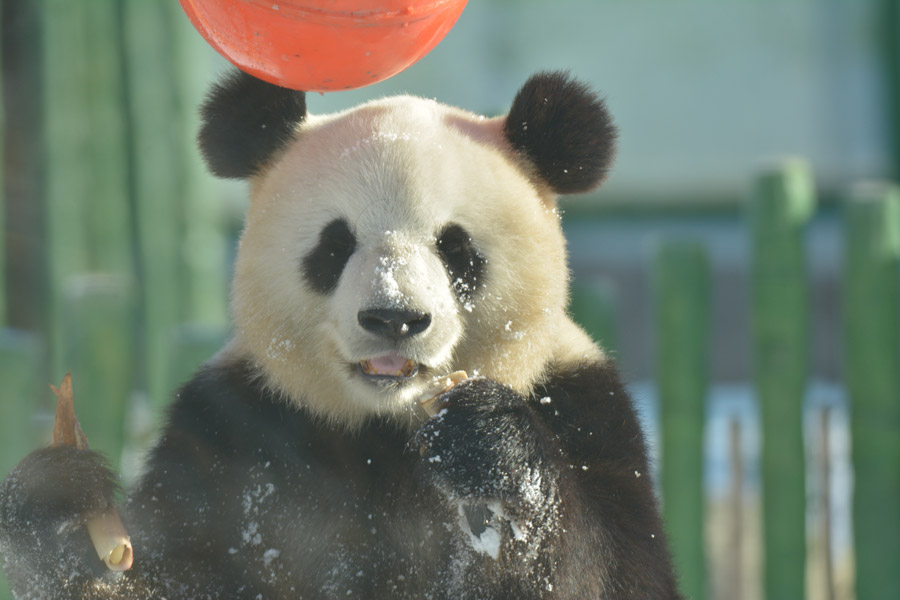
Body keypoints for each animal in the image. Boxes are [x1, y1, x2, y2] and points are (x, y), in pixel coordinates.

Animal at [0, 68, 680, 596]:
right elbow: (172, 569)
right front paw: (61, 514)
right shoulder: (232, 433)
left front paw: (488, 444)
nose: (394, 318)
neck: (384, 427)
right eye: (335, 243)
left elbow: (617, 571)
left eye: (456, 249)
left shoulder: (585, 406)